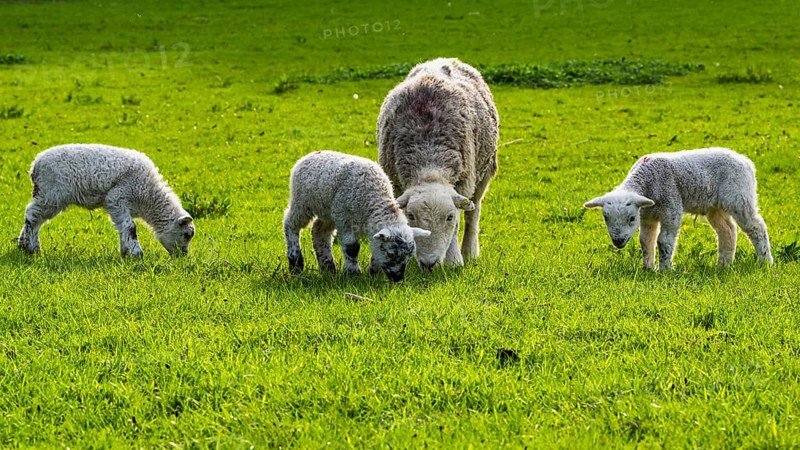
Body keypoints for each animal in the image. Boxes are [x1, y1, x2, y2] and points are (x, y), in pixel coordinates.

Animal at [16, 144, 195, 257]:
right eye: (186, 235)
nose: (183, 256)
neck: (149, 197)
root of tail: (36, 164)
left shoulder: (121, 206)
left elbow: (123, 228)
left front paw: (125, 252)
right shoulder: (117, 197)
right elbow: (130, 227)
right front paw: (137, 253)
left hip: (46, 194)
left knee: (35, 218)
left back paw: (23, 245)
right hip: (52, 193)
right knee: (32, 216)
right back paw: (33, 248)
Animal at [283, 150, 431, 282]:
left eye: (409, 257)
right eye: (390, 254)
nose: (397, 278)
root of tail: (311, 154)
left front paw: (373, 274)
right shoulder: (345, 219)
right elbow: (352, 248)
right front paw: (353, 274)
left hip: (328, 210)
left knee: (319, 231)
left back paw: (328, 268)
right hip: (302, 202)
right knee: (290, 223)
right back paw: (296, 262)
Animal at [377, 57, 499, 271]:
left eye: (448, 217)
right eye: (411, 216)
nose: (429, 263)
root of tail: (443, 60)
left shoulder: (463, 183)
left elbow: (458, 223)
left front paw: (454, 261)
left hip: (484, 172)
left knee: (473, 214)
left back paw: (469, 252)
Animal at [584, 147, 773, 270]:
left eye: (631, 218)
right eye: (606, 218)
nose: (618, 241)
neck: (647, 180)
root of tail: (746, 162)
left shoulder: (671, 207)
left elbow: (664, 241)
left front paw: (665, 269)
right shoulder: (647, 216)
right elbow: (645, 241)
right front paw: (648, 268)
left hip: (739, 197)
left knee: (756, 227)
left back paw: (765, 261)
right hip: (714, 206)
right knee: (727, 230)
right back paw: (723, 265)